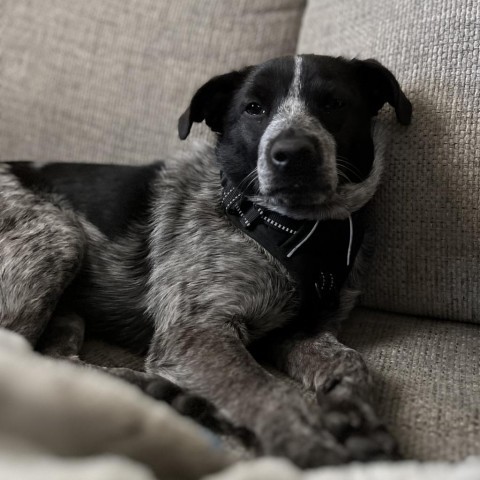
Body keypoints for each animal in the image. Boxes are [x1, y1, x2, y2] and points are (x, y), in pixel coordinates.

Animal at [0, 54, 412, 466]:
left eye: (333, 103)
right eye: (253, 108)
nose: (292, 153)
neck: (296, 229)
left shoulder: (301, 330)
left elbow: (351, 361)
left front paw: (355, 416)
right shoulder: (196, 331)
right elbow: (265, 389)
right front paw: (307, 445)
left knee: (53, 361)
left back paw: (160, 393)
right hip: (60, 237)